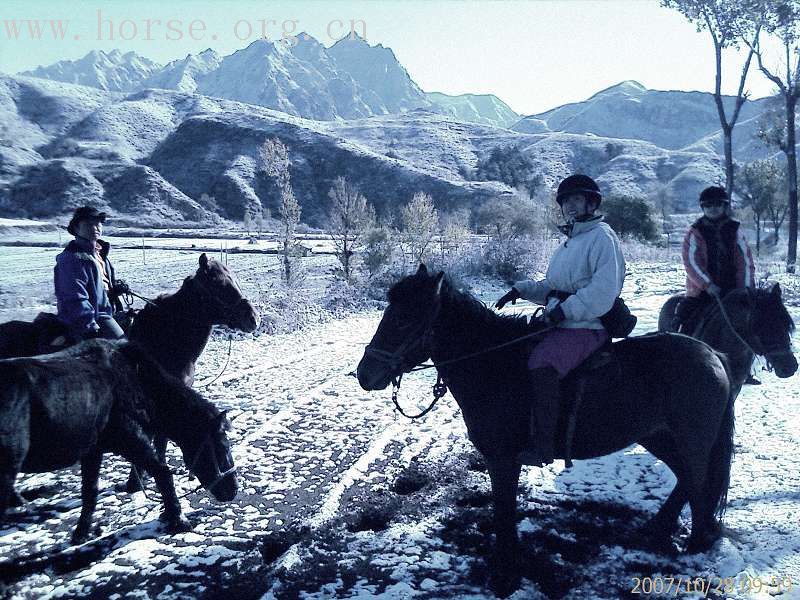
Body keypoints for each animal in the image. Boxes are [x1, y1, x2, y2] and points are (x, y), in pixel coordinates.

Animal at [0, 338, 238, 544]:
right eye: (222, 447)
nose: (233, 491)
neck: (135, 380)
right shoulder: (131, 440)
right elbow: (162, 473)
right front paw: (178, 520)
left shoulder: (94, 451)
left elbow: (90, 492)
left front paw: (81, 533)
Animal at [360, 266, 736, 596]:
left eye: (403, 319)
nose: (364, 374)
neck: (493, 365)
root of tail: (713, 354)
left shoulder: (503, 460)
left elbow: (504, 512)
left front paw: (505, 571)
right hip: (658, 437)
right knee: (685, 479)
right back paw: (660, 528)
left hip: (690, 441)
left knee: (697, 482)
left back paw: (695, 543)